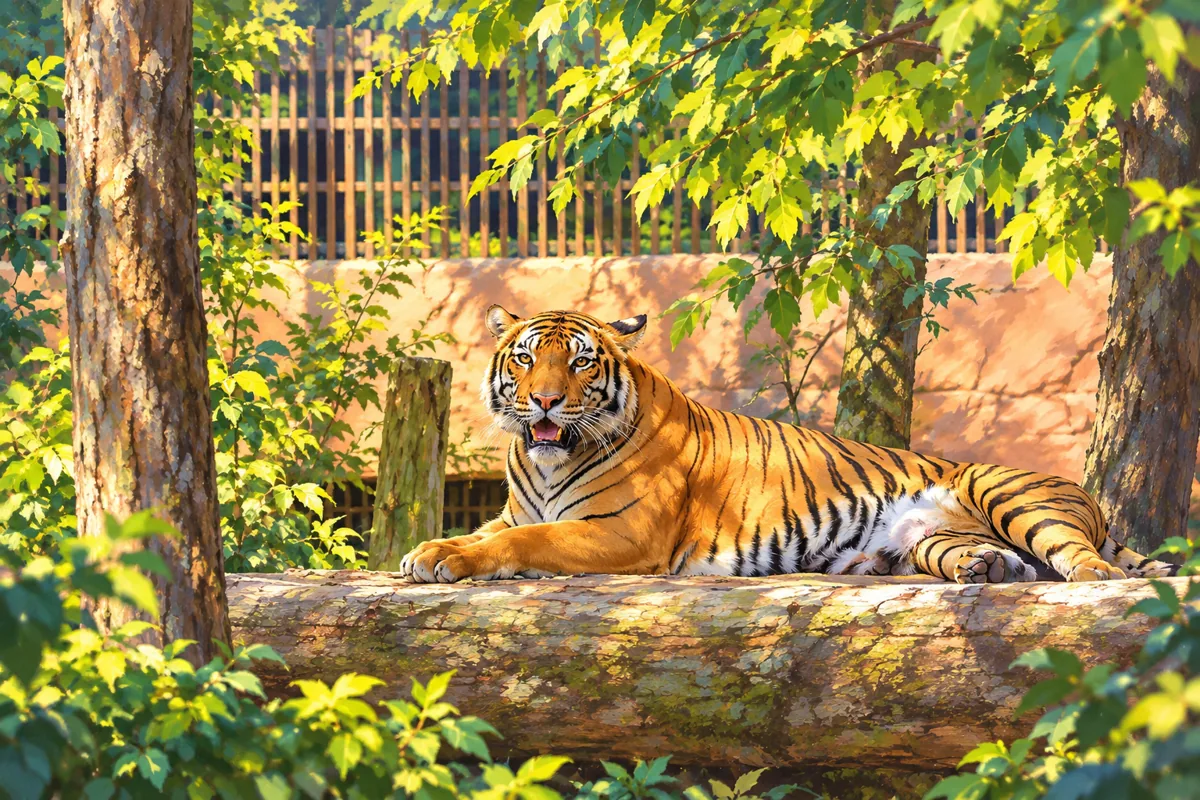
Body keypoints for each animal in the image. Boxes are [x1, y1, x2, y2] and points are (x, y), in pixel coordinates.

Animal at [400, 306, 1177, 585]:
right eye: (527, 358)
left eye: (582, 362)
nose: (544, 400)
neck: (545, 458)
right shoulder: (512, 510)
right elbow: (484, 532)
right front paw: (431, 550)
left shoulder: (620, 532)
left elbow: (521, 544)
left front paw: (442, 562)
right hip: (934, 538)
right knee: (1003, 559)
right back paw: (986, 569)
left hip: (1007, 489)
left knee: (1075, 556)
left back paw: (1095, 578)